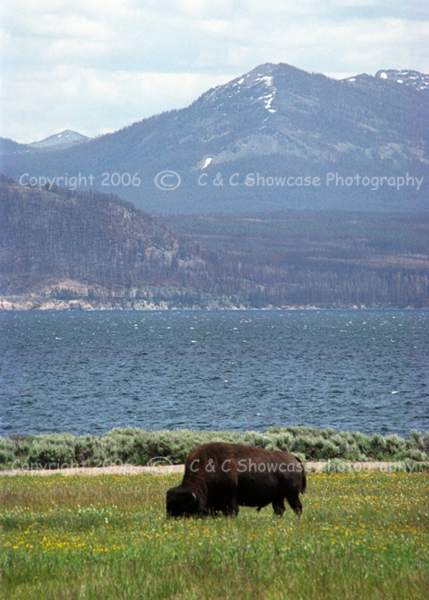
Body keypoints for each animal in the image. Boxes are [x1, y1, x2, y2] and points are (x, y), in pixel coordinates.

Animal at [165, 442, 304, 516]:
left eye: (184, 509)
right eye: (168, 508)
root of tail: (294, 459)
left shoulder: (230, 499)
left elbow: (232, 511)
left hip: (291, 494)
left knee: (297, 507)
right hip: (278, 497)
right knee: (279, 510)